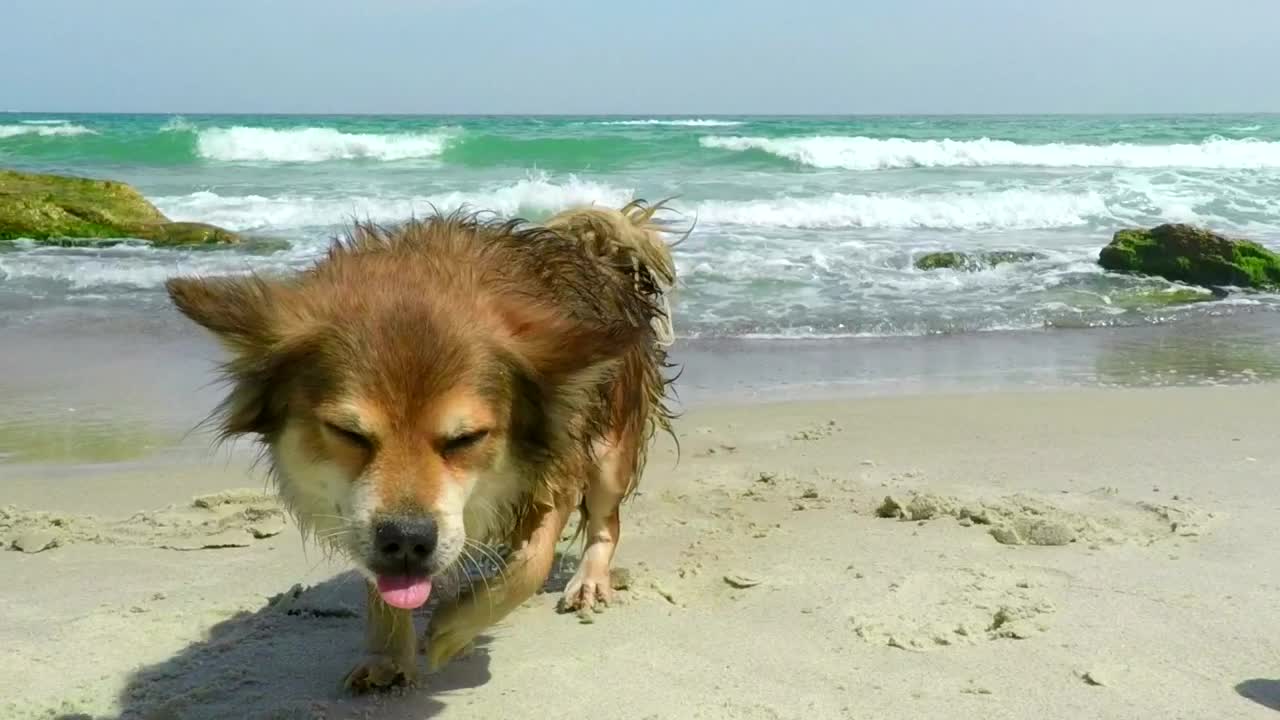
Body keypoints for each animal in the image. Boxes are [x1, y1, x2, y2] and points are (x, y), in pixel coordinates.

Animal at [167, 197, 680, 691]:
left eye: (466, 439)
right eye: (348, 433)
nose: (407, 538)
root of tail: (599, 254)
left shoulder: (555, 467)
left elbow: (531, 564)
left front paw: (454, 630)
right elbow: (381, 581)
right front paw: (388, 656)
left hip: (610, 452)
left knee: (606, 521)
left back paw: (589, 579)